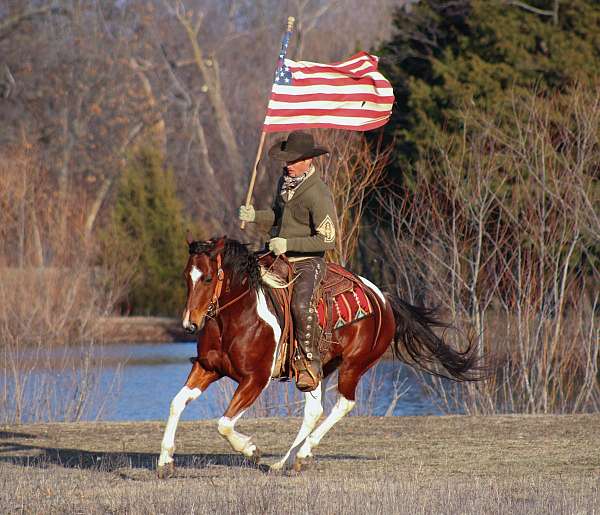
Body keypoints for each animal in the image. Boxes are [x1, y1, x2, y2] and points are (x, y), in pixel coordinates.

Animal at [157, 236, 480, 478]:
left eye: (208, 277)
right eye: (187, 276)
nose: (189, 324)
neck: (238, 317)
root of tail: (383, 299)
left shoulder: (255, 379)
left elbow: (224, 423)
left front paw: (251, 449)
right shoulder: (207, 368)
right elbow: (176, 403)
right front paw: (164, 462)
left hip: (353, 366)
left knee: (343, 404)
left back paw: (299, 454)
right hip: (315, 370)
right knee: (314, 410)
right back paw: (287, 461)